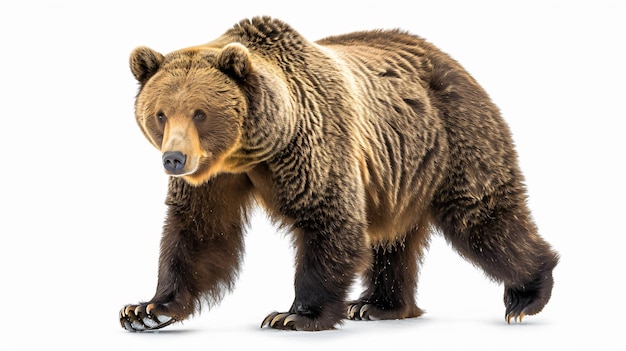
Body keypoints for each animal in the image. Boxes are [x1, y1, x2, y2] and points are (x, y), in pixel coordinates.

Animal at [120, 16, 556, 332]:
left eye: (200, 113)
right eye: (160, 114)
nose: (174, 159)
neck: (251, 150)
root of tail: (454, 61)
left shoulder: (313, 146)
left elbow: (328, 220)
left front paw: (294, 314)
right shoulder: (216, 178)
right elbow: (199, 232)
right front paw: (147, 309)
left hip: (454, 137)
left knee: (483, 218)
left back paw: (526, 295)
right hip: (399, 176)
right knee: (393, 240)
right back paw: (377, 306)